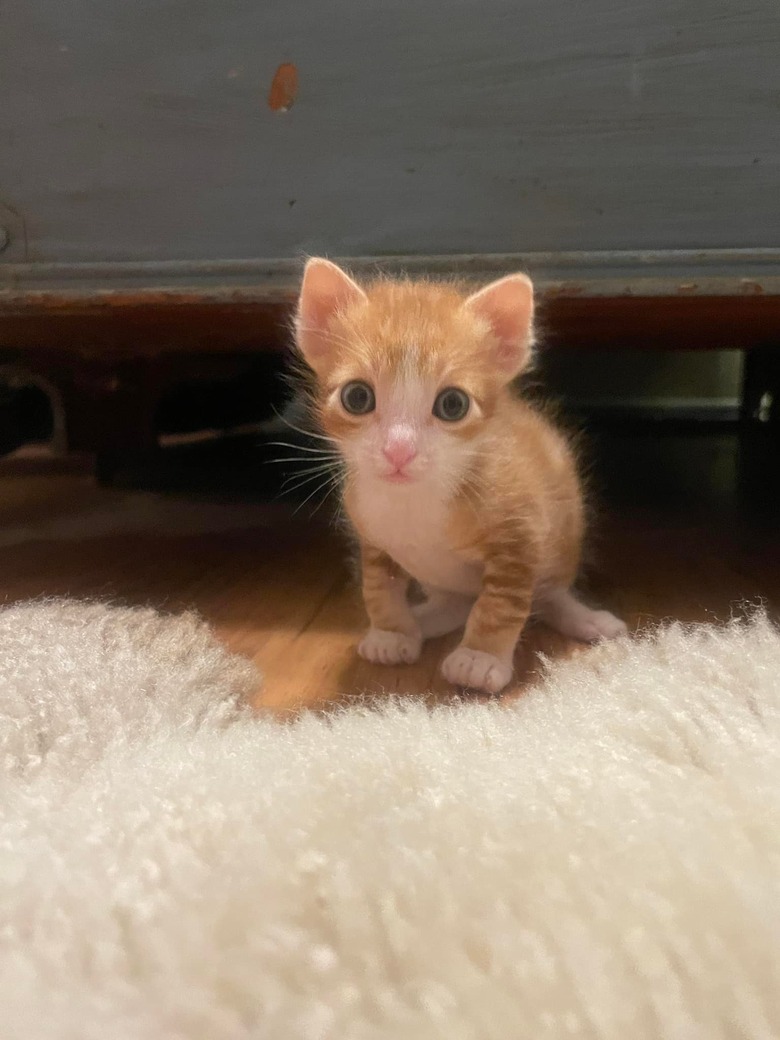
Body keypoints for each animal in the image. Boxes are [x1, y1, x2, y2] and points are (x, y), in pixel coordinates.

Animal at [293, 260, 628, 694]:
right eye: (357, 397)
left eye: (452, 404)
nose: (399, 450)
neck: (415, 500)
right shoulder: (373, 537)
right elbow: (378, 587)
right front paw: (391, 633)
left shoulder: (521, 537)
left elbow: (500, 605)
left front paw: (480, 657)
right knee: (455, 602)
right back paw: (422, 621)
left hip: (560, 540)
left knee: (548, 593)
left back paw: (584, 618)